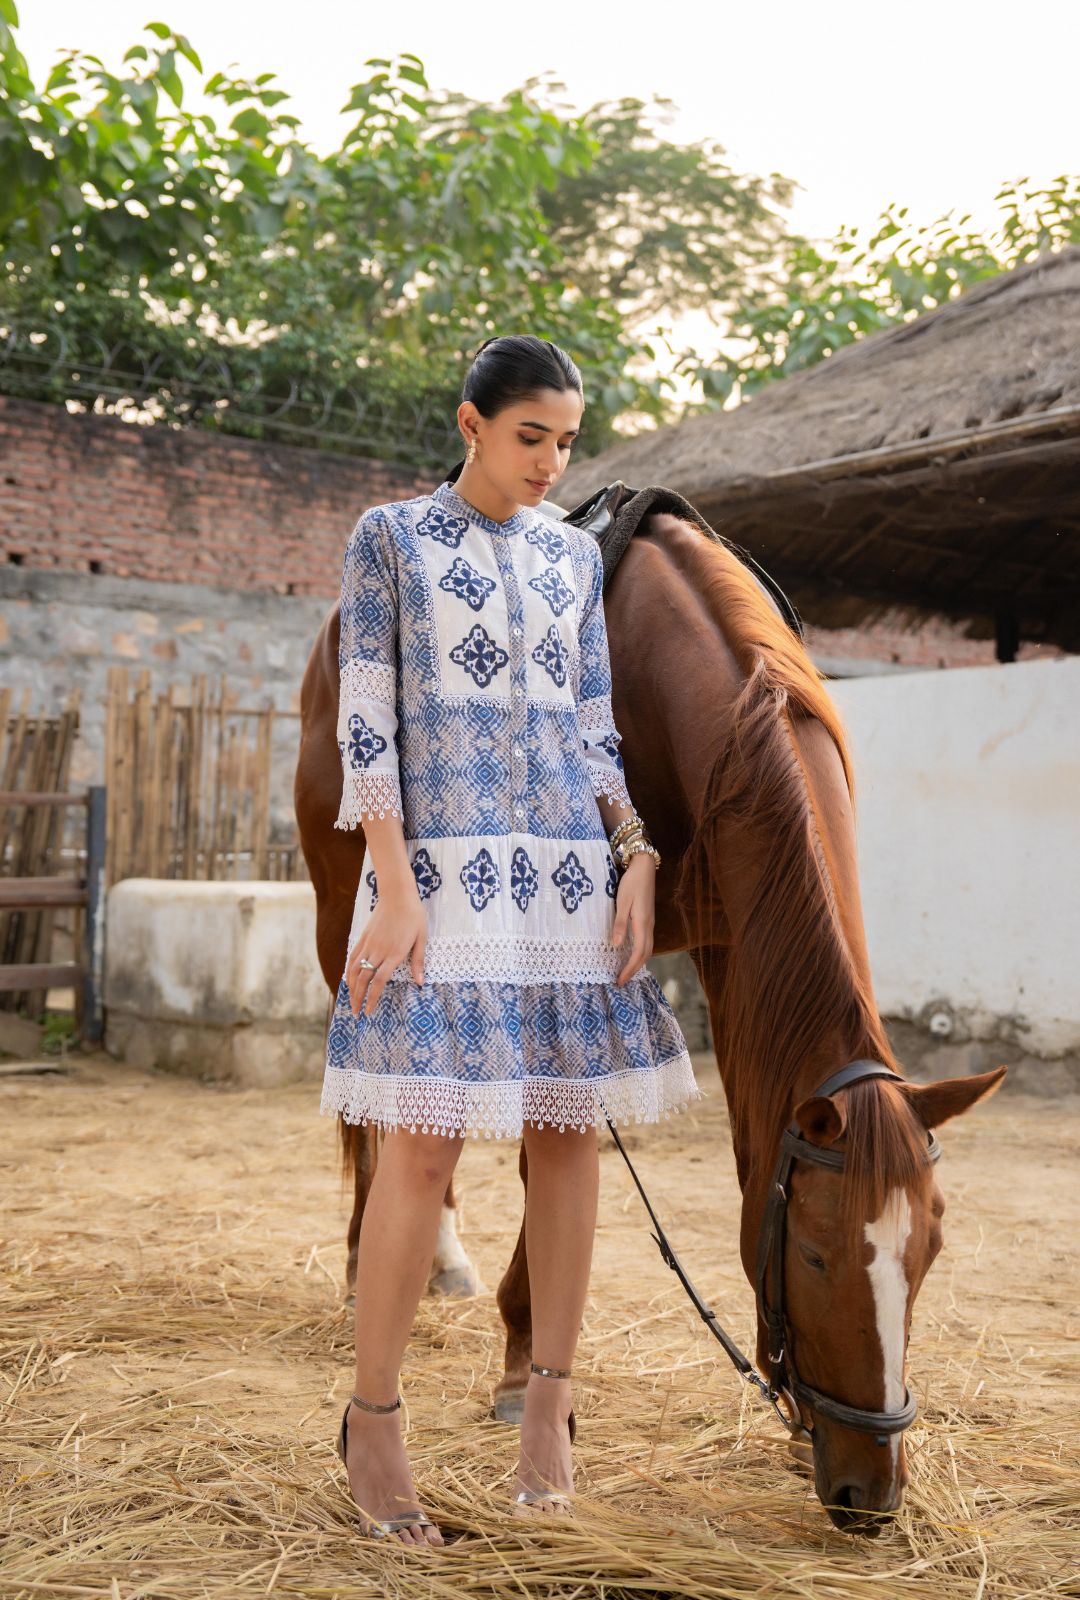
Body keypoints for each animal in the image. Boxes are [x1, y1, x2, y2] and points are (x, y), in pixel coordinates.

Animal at [294, 505, 1004, 1529]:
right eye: (818, 1257)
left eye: (930, 1253)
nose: (870, 1492)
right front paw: (519, 1362)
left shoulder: (726, 944)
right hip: (344, 908)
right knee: (374, 1108)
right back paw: (372, 1268)